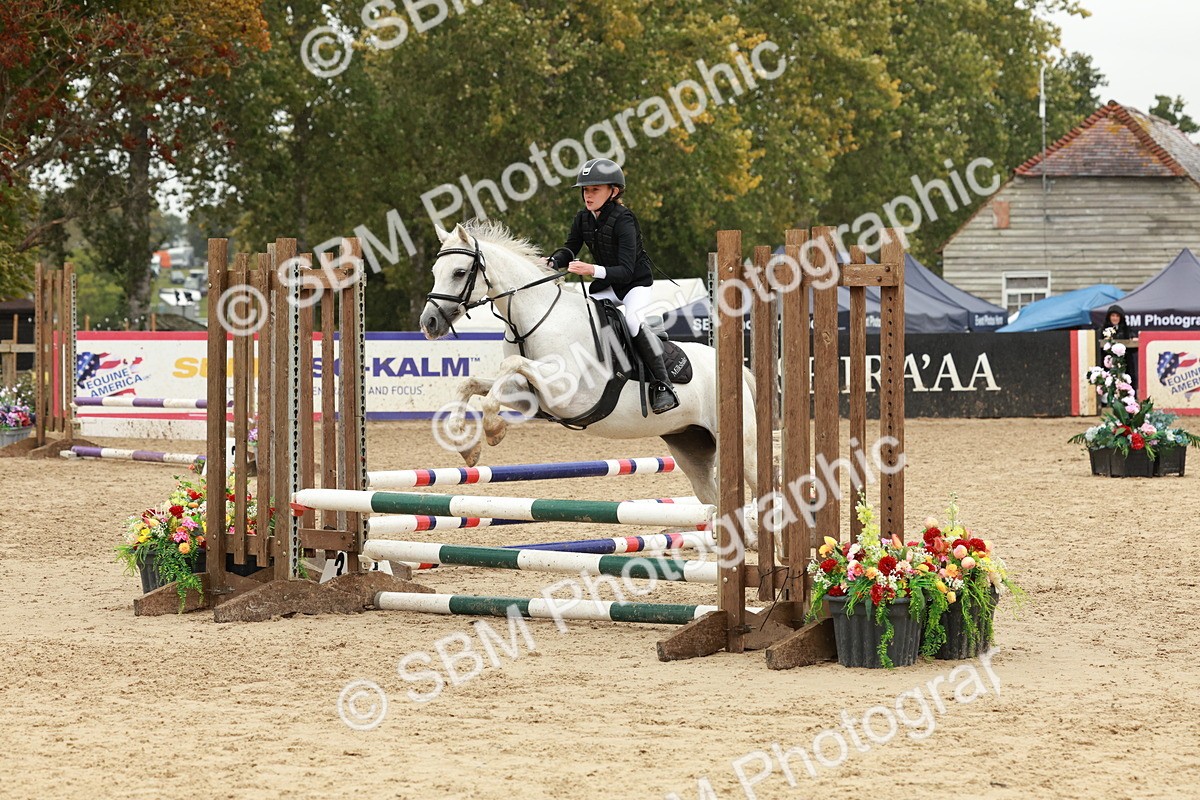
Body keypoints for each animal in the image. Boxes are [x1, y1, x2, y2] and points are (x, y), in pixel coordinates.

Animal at [419, 220, 758, 530]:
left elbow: (510, 365)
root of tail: (740, 372)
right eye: (435, 271)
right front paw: (468, 448)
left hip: (743, 447)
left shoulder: (565, 391)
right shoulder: (529, 396)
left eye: (459, 272)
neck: (537, 317)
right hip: (690, 446)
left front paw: (492, 429)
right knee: (713, 500)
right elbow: (472, 383)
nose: (429, 322)